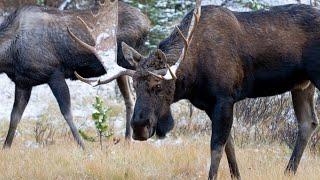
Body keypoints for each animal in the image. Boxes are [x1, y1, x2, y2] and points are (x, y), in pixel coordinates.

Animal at [0, 0, 150, 149]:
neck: (10, 55)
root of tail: (146, 22)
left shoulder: (55, 74)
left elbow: (66, 112)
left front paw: (83, 146)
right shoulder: (23, 83)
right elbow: (15, 116)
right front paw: (6, 146)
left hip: (126, 62)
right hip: (118, 68)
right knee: (129, 98)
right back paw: (127, 139)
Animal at [75, 1, 320, 180]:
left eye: (158, 85)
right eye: (135, 85)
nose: (138, 127)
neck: (192, 78)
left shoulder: (225, 98)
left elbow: (216, 146)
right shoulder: (210, 105)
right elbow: (229, 146)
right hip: (302, 84)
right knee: (308, 122)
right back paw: (288, 171)